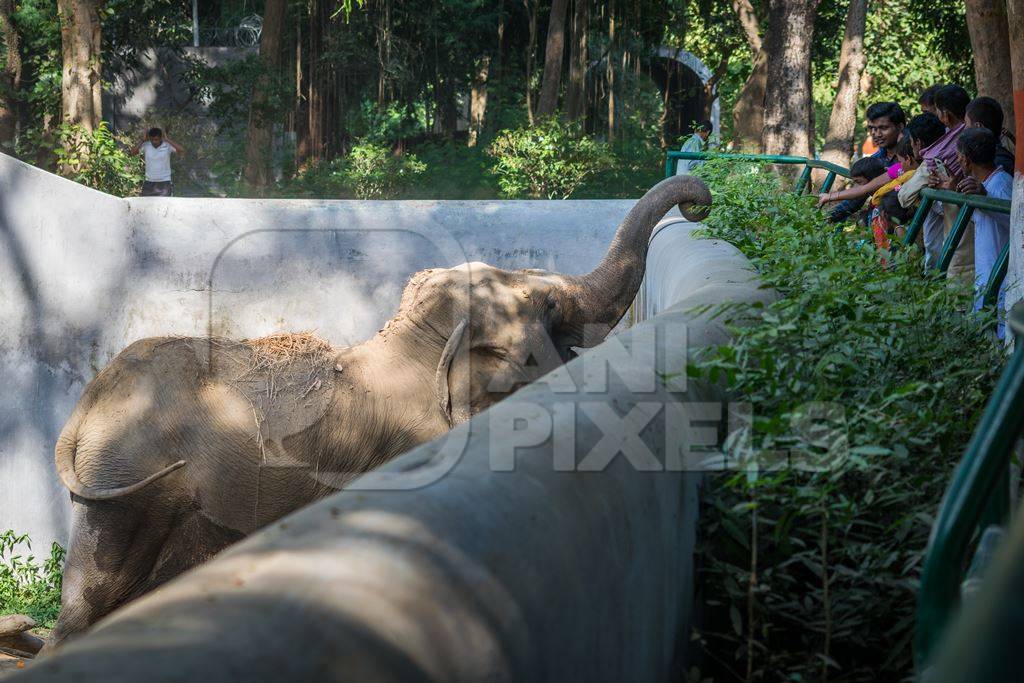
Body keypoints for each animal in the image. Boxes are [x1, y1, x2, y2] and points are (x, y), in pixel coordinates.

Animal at [44, 174, 708, 651]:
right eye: (544, 307)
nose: (699, 202)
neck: (420, 345)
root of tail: (84, 410)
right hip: (128, 480)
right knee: (96, 594)